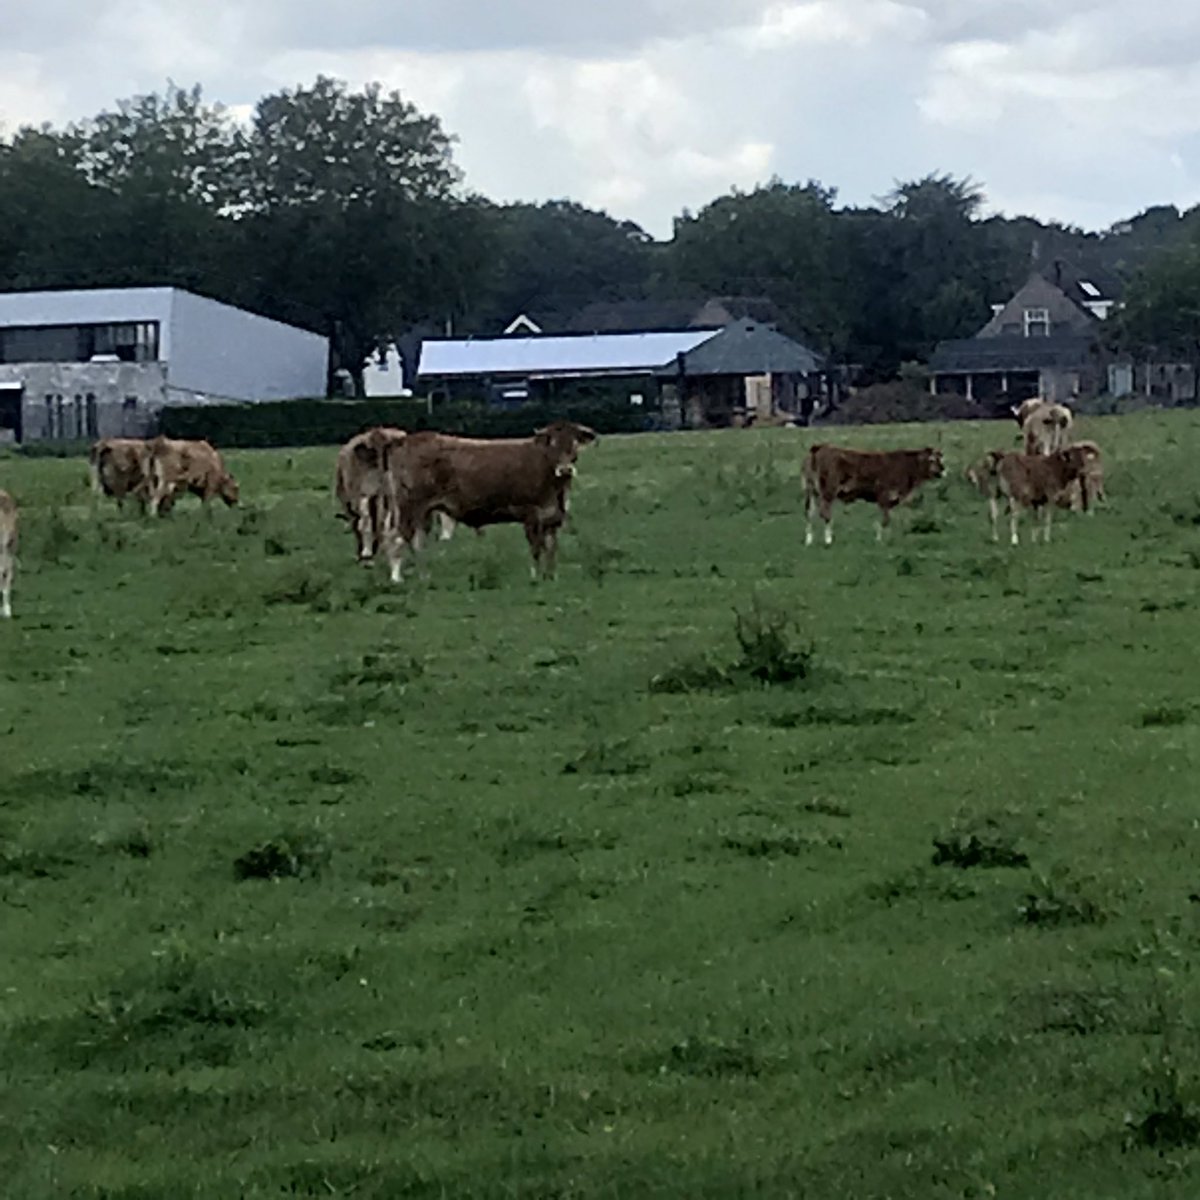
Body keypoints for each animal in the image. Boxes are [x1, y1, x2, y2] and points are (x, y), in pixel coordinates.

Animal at [381, 421, 598, 583]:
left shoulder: (551, 516)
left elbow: (551, 548)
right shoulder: (530, 514)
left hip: (421, 512)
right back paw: (397, 578)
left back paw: (424, 576)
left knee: (416, 541)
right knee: (398, 538)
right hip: (409, 508)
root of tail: (404, 440)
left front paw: (551, 576)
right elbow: (536, 548)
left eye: (575, 443)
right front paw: (536, 576)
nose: (565, 469)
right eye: (552, 443)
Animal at [802, 444, 945, 546]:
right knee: (825, 513)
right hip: (828, 492)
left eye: (940, 459)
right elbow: (885, 520)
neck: (905, 466)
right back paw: (828, 539)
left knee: (809, 513)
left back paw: (809, 540)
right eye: (932, 460)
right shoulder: (884, 497)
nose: (943, 470)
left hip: (811, 491)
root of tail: (820, 447)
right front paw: (879, 540)